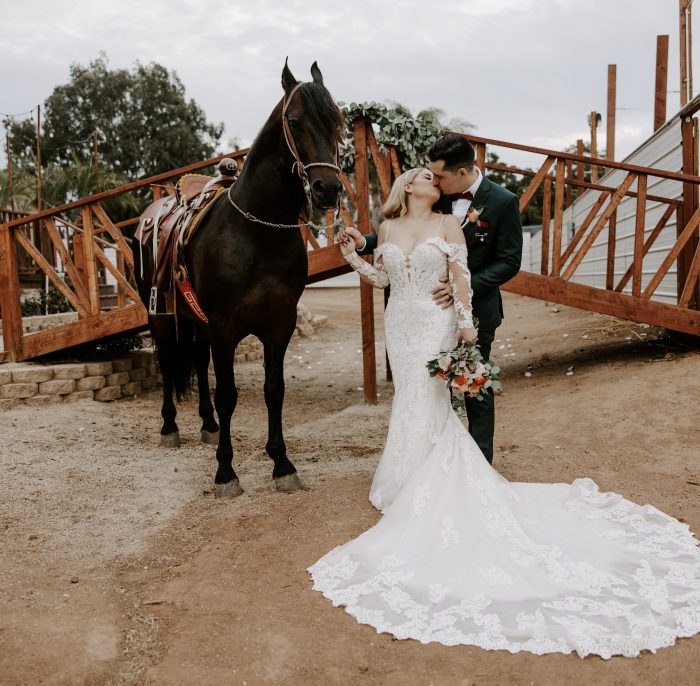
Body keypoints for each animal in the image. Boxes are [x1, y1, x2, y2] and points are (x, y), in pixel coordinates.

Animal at [133, 61, 344, 500]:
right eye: (295, 122)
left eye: (337, 122)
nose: (327, 189)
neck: (256, 231)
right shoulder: (225, 327)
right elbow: (228, 394)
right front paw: (226, 472)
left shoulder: (280, 323)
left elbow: (274, 390)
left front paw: (282, 464)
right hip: (160, 317)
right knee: (167, 363)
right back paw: (169, 426)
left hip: (196, 323)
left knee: (196, 361)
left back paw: (208, 425)